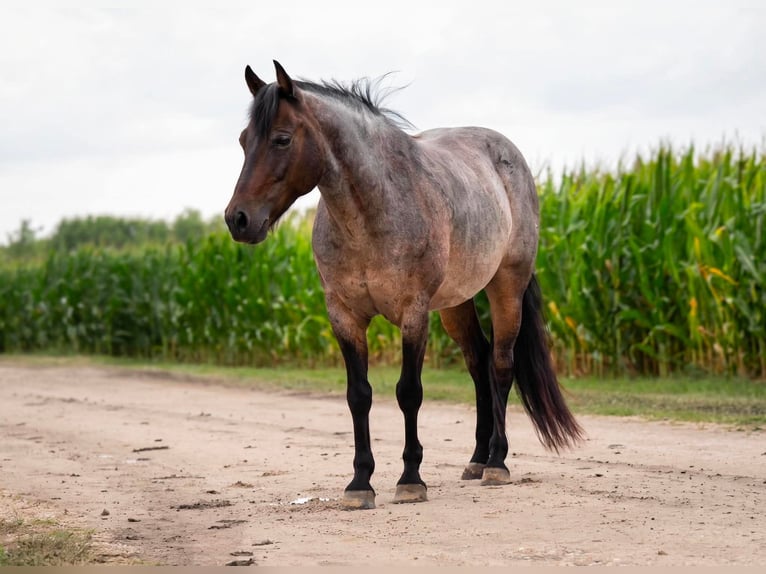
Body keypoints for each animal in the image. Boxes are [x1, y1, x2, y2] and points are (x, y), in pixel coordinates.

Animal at [225, 61, 583, 509]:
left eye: (282, 139)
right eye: (243, 140)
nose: (237, 219)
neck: (372, 213)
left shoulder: (413, 313)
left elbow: (409, 391)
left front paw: (411, 479)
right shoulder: (343, 316)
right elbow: (358, 394)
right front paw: (360, 484)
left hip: (506, 287)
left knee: (501, 365)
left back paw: (497, 464)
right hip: (455, 305)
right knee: (478, 363)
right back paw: (476, 460)